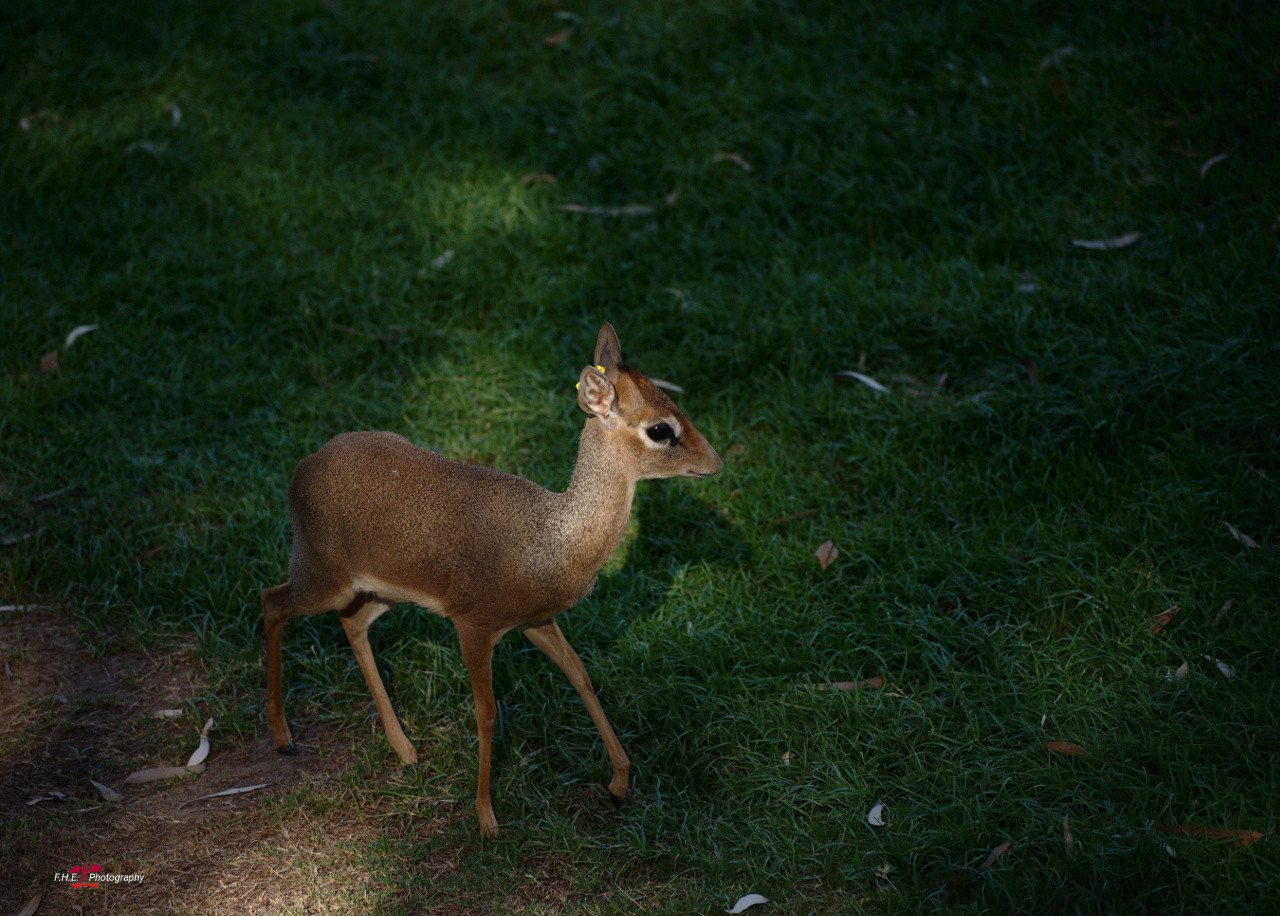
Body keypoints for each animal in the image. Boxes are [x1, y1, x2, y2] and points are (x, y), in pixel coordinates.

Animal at [262, 323, 721, 839]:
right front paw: (486, 818)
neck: (552, 539)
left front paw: (619, 782)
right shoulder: (474, 627)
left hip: (379, 592)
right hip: (322, 579)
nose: (717, 462)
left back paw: (405, 750)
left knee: (351, 623)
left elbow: (580, 674)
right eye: (660, 429)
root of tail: (303, 468)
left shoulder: (535, 621)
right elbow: (486, 714)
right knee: (271, 601)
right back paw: (283, 737)